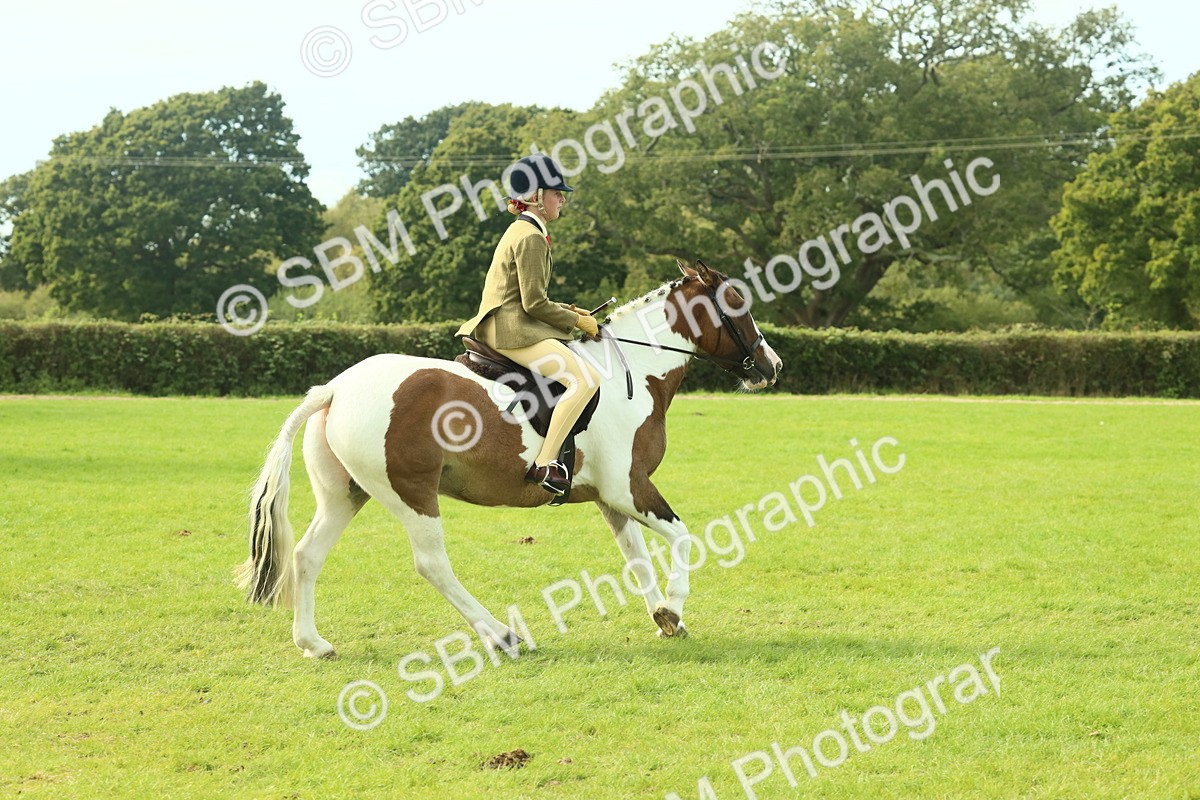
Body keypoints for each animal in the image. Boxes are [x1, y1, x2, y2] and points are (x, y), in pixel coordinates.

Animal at [235, 260, 783, 658]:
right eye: (737, 304)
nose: (772, 365)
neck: (636, 371)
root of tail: (335, 388)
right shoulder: (629, 487)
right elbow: (683, 537)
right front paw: (674, 608)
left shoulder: (610, 497)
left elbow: (637, 558)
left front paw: (665, 619)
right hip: (411, 493)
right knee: (432, 565)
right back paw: (502, 636)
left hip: (346, 494)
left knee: (308, 555)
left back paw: (313, 643)